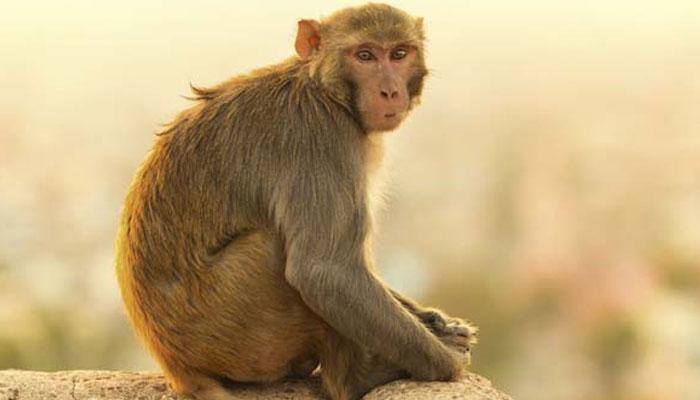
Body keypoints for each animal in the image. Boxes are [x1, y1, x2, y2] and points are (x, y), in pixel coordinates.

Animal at [116, 4, 477, 400]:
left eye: (399, 53)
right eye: (364, 55)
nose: (389, 91)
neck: (325, 91)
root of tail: (177, 368)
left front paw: (434, 321)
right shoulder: (321, 140)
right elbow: (325, 271)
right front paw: (447, 363)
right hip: (234, 333)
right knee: (280, 252)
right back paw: (357, 377)